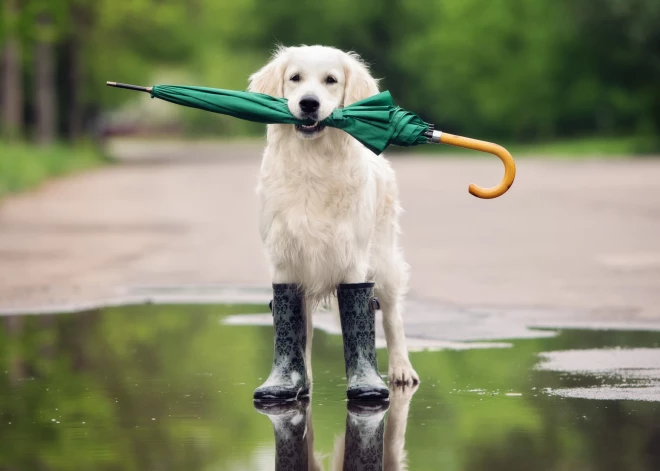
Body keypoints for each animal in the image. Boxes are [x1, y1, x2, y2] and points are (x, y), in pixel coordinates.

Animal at [248, 44, 418, 386]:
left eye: (331, 80)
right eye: (295, 78)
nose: (308, 103)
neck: (313, 163)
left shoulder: (352, 259)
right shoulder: (285, 260)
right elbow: (296, 327)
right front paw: (295, 380)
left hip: (384, 260)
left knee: (392, 316)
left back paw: (401, 369)